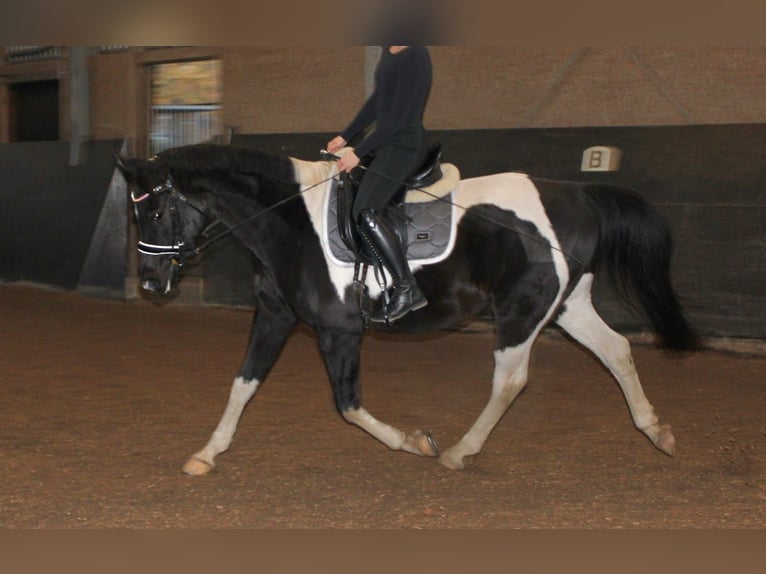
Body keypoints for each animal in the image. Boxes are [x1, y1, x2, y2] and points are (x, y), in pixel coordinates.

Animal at [117, 142, 700, 474]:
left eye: (159, 210)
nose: (149, 282)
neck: (291, 221)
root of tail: (577, 193)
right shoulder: (276, 318)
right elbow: (243, 384)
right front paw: (207, 454)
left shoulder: (339, 330)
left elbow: (349, 405)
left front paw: (415, 441)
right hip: (566, 305)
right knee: (617, 350)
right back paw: (658, 432)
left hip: (522, 310)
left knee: (511, 380)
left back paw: (459, 452)